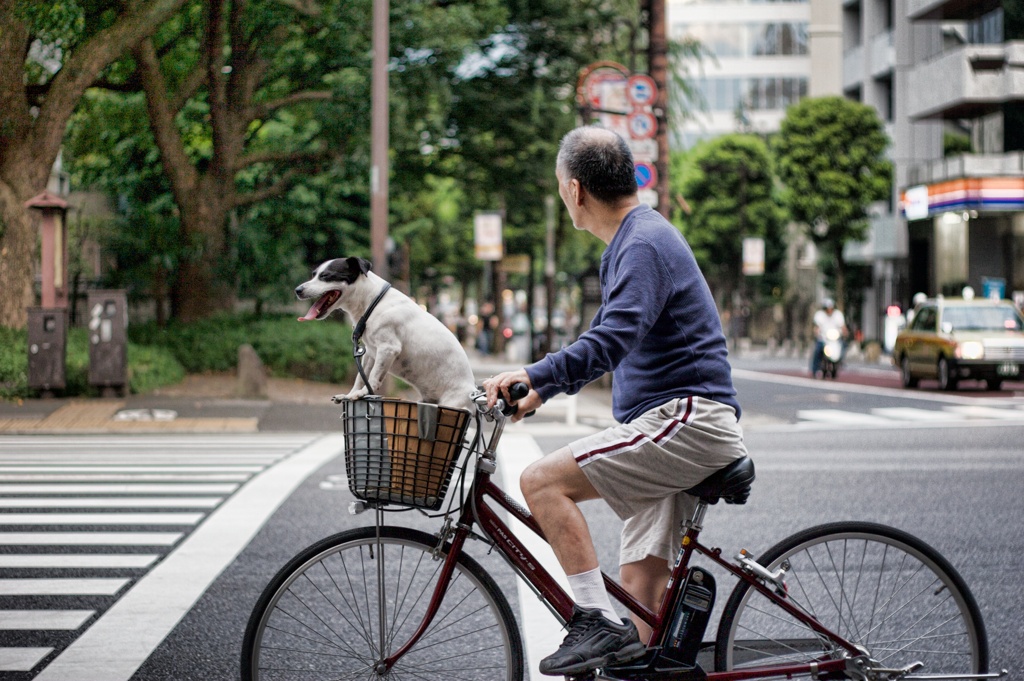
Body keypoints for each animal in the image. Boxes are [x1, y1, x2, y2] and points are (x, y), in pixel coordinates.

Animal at [292, 253, 475, 403]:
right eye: (314, 274)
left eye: (326, 276)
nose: (297, 290)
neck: (373, 302)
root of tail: (473, 391)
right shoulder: (370, 354)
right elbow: (361, 377)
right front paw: (350, 394)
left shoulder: (388, 349)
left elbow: (373, 377)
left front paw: (362, 393)